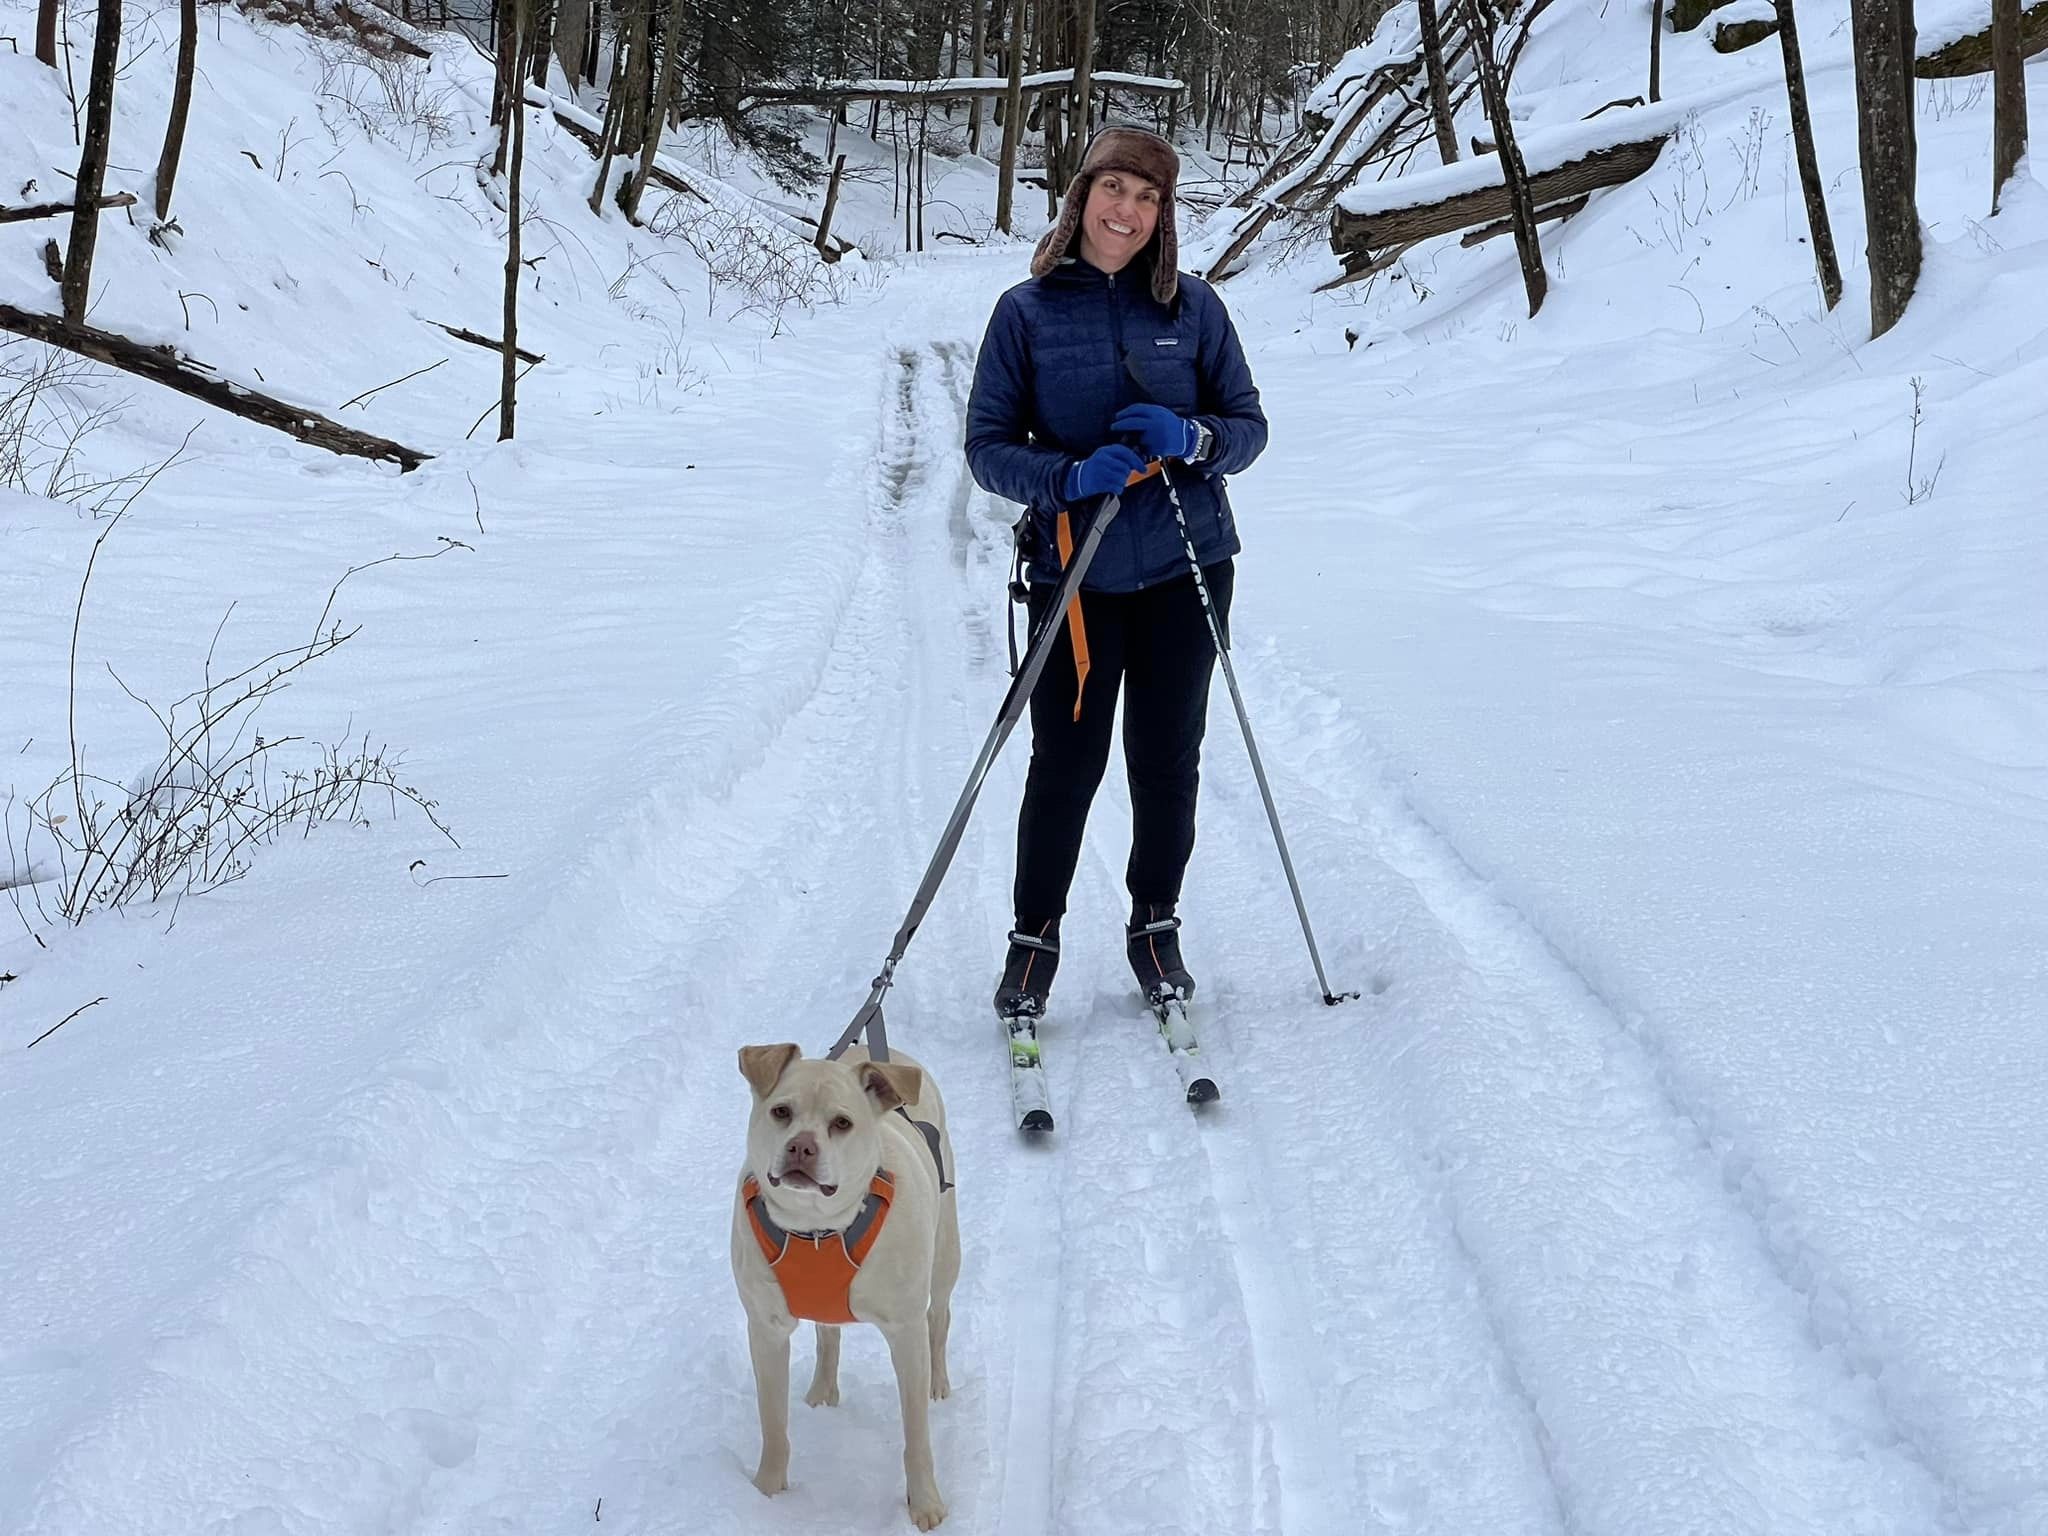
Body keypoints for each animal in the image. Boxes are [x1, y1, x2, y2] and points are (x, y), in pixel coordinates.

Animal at [733, 1040, 962, 1531]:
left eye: (842, 1123)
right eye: (781, 1111)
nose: (801, 1146)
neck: (816, 1228)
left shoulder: (905, 1332)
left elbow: (917, 1435)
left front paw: (925, 1504)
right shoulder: (765, 1328)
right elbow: (773, 1423)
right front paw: (767, 1491)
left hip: (945, 1249)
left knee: (939, 1314)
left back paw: (938, 1382)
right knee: (828, 1333)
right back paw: (822, 1391)